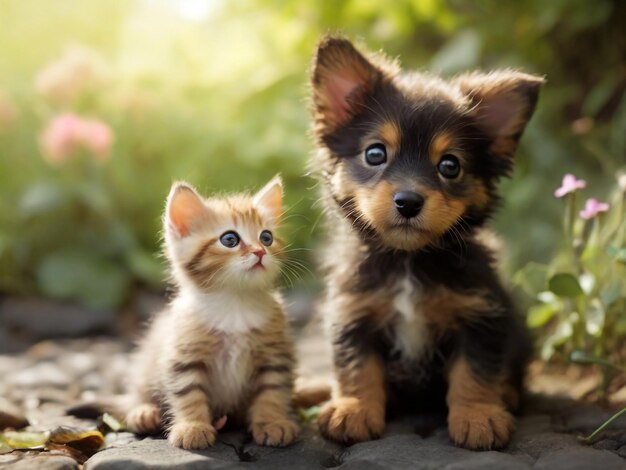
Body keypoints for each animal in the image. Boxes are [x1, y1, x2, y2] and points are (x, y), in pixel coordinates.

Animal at [124, 176, 298, 448]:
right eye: (230, 239)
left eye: (267, 237)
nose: (260, 251)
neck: (235, 303)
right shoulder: (184, 355)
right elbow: (188, 393)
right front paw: (192, 427)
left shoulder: (274, 355)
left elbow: (272, 391)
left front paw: (272, 422)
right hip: (146, 366)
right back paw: (143, 412)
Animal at [308, 35, 540, 450]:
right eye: (375, 153)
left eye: (450, 165)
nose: (408, 201)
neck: (408, 261)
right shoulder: (352, 314)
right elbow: (356, 367)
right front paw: (353, 409)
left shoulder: (481, 317)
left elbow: (475, 372)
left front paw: (478, 415)